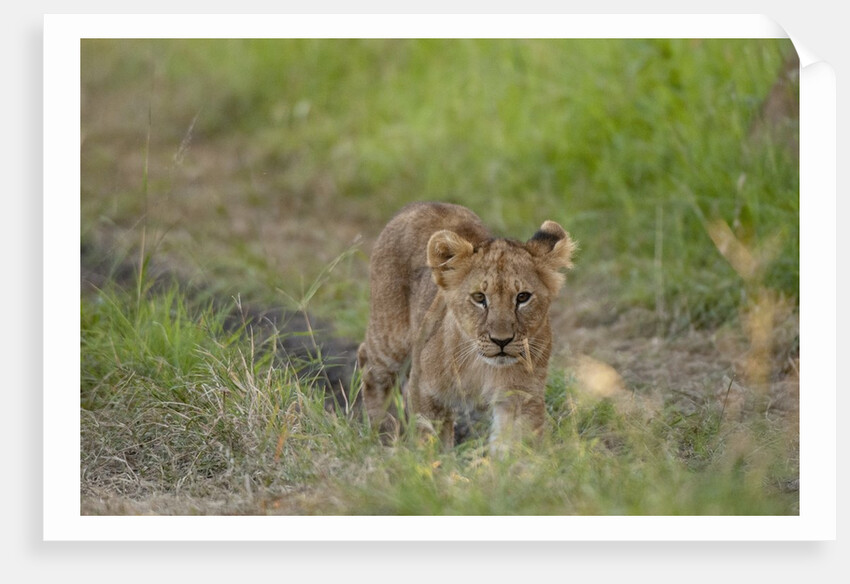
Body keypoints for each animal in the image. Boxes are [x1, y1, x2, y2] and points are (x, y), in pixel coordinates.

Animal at [357, 202, 576, 452]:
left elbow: (516, 444)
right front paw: (433, 461)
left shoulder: (521, 395)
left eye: (523, 297)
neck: (482, 366)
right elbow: (429, 439)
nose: (501, 341)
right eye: (479, 297)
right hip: (390, 337)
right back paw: (381, 435)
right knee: (370, 365)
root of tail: (421, 204)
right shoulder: (424, 389)